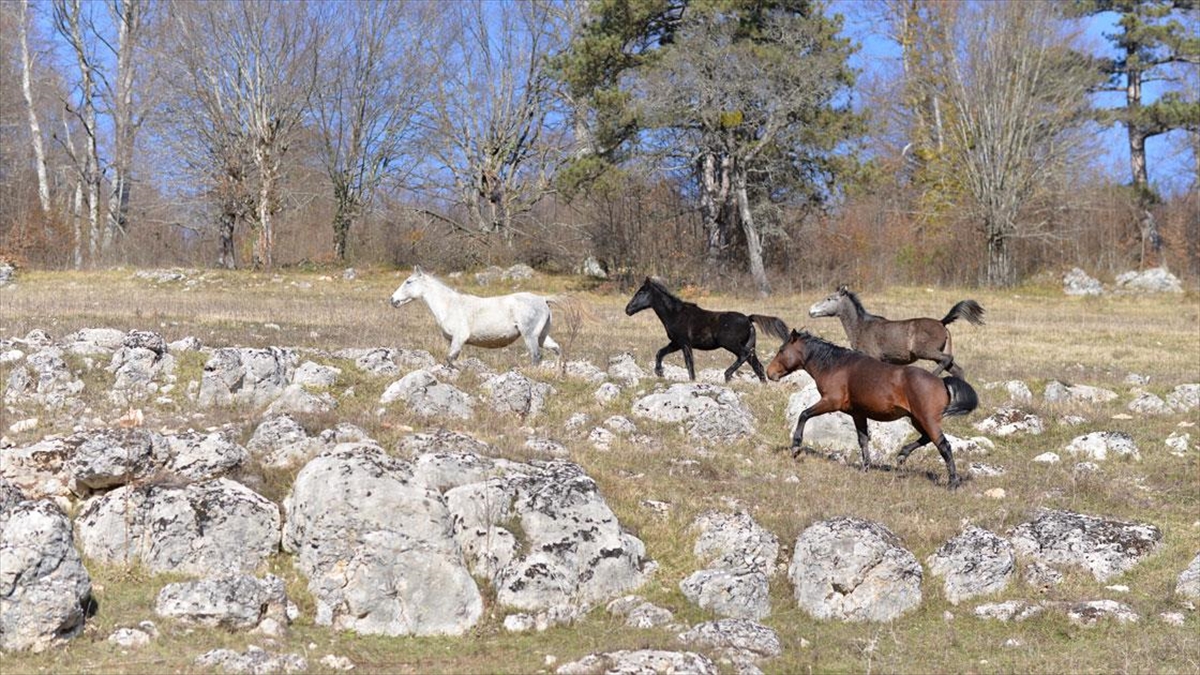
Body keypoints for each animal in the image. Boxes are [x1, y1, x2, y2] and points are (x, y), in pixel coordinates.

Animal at [391, 265, 564, 365]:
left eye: (408, 282)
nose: (393, 300)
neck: (450, 305)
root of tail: (542, 299)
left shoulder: (459, 338)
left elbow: (450, 359)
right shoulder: (451, 340)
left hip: (530, 336)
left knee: (536, 356)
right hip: (541, 337)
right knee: (556, 349)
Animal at [624, 276, 792, 381]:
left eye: (641, 292)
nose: (628, 309)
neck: (675, 314)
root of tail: (748, 319)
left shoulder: (684, 343)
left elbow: (689, 363)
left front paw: (692, 381)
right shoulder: (676, 343)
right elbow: (660, 352)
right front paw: (659, 372)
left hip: (731, 344)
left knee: (744, 356)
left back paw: (727, 375)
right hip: (750, 346)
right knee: (758, 367)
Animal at [763, 329, 979, 485]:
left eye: (781, 350)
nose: (769, 372)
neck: (835, 366)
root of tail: (942, 382)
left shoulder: (830, 402)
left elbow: (804, 414)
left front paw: (796, 448)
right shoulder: (858, 414)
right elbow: (863, 440)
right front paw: (865, 467)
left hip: (926, 419)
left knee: (944, 446)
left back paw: (953, 482)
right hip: (917, 419)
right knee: (927, 439)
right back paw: (902, 455)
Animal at [806, 283, 984, 374]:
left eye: (829, 298)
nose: (811, 311)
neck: (861, 326)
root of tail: (942, 323)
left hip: (926, 352)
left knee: (948, 360)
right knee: (958, 370)